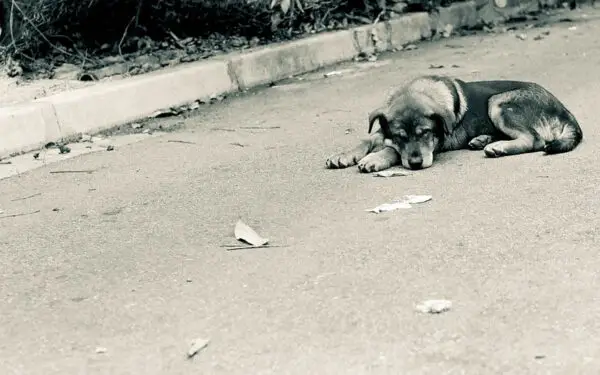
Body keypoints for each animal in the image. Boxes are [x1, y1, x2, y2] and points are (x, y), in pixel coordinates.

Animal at [326, 75, 584, 173]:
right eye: (400, 136)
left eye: (426, 133)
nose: (416, 164)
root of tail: (565, 110)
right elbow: (369, 138)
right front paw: (344, 155)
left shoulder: (437, 143)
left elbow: (391, 150)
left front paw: (375, 159)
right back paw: (482, 140)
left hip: (497, 102)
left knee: (535, 139)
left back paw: (497, 147)